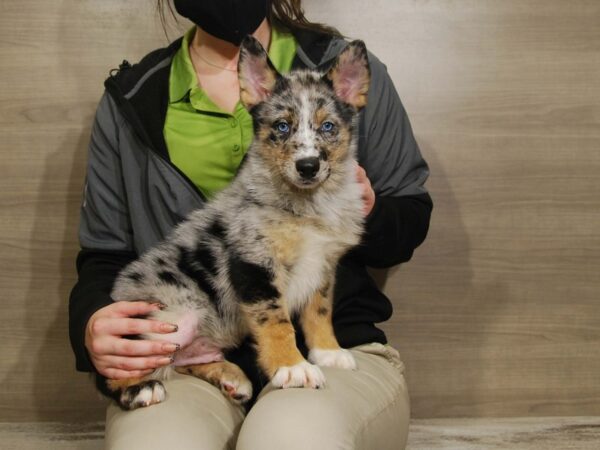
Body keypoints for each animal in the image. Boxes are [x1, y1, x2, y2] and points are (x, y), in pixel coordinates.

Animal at [99, 37, 370, 410]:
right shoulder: (254, 263)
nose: (308, 166)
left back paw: (230, 377)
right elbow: (277, 323)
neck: (308, 205)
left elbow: (319, 313)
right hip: (169, 316)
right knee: (127, 363)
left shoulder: (324, 266)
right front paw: (293, 367)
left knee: (184, 361)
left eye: (328, 126)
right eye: (281, 127)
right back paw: (140, 388)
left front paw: (328, 352)